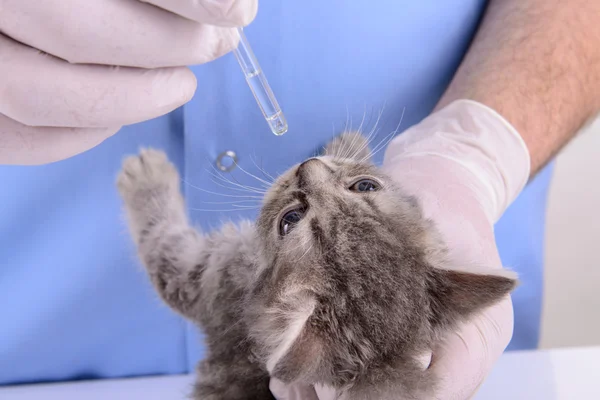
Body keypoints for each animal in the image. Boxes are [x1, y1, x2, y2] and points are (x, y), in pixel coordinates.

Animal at [116, 132, 516, 400]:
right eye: (366, 185)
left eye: (290, 220)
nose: (308, 166)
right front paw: (348, 141)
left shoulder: (210, 281)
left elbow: (162, 242)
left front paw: (147, 177)